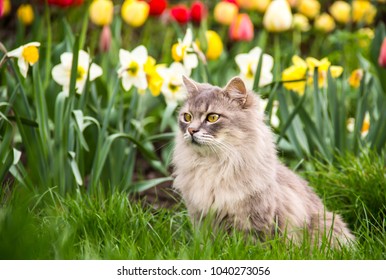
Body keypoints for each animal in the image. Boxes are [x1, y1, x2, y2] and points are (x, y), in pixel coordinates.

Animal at [172, 75, 356, 247]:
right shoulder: (200, 218)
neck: (212, 164)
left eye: (212, 118)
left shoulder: (255, 220)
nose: (191, 130)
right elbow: (207, 245)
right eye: (187, 117)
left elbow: (252, 245)